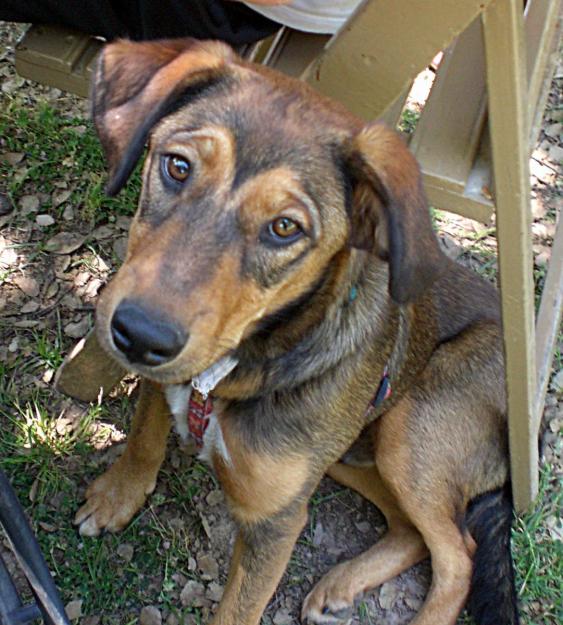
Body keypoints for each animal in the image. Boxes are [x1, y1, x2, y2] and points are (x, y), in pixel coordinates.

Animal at [72, 37, 524, 624]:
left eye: (285, 227)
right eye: (177, 165)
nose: (140, 335)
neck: (233, 369)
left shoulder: (277, 521)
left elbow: (236, 611)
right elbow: (145, 433)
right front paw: (117, 495)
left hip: (411, 431)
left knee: (458, 554)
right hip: (350, 454)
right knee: (411, 531)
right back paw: (342, 583)